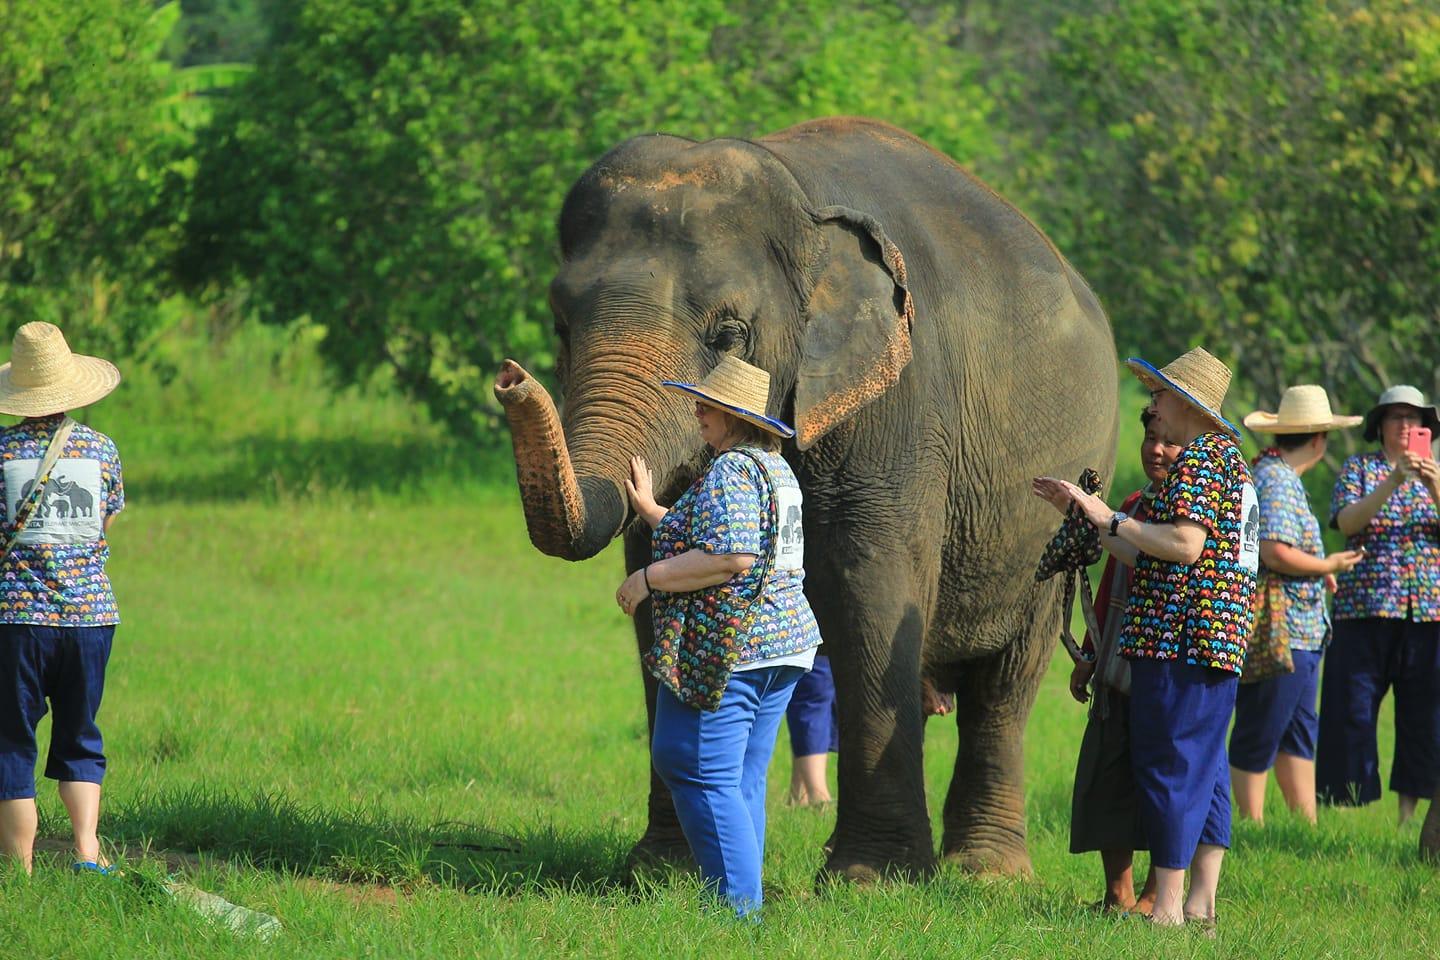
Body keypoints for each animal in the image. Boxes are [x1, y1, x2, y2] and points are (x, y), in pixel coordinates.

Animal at [494, 117, 1118, 881]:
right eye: (560, 323)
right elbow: (658, 583)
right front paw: (661, 873)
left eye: (729, 334)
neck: (800, 199)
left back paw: (987, 875)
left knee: (1005, 683)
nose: (509, 378)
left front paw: (869, 882)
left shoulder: (900, 406)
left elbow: (868, 589)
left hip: (1060, 511)